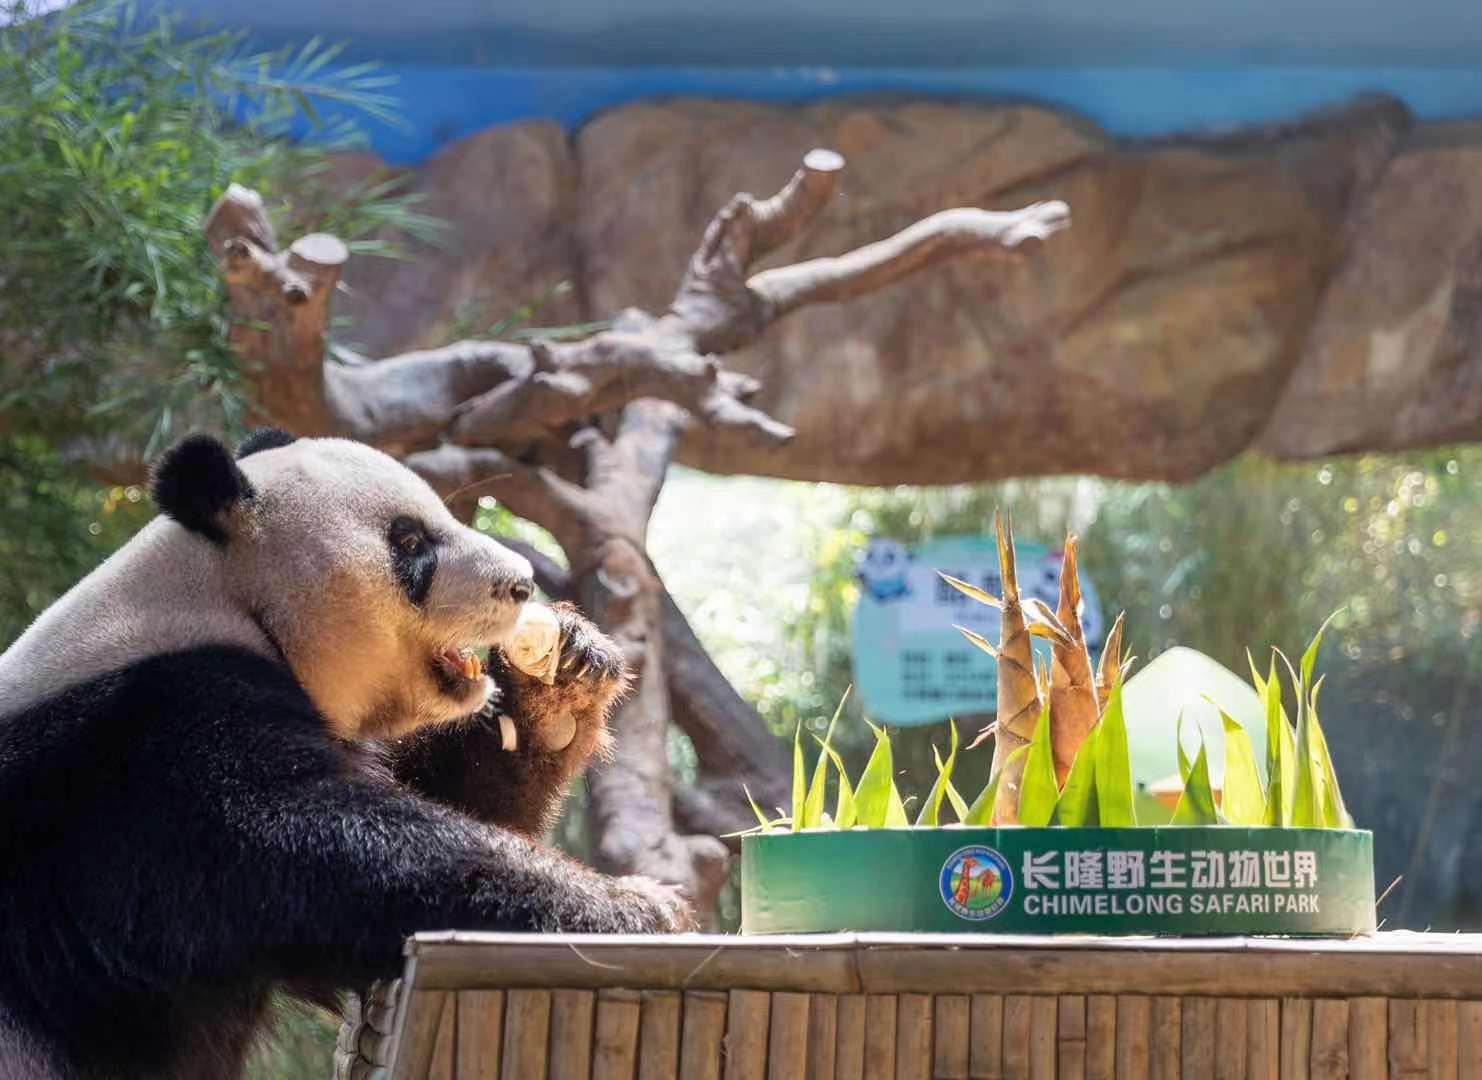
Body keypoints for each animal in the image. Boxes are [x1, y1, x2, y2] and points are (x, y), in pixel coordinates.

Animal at [0, 429, 693, 1080]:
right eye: (408, 540)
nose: (521, 584)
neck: (225, 599)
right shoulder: (140, 757)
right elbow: (320, 848)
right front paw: (638, 909)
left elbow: (457, 798)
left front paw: (559, 684)